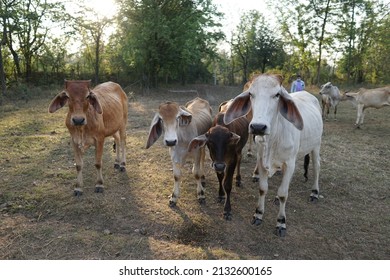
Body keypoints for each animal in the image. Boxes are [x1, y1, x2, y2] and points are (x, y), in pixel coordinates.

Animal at [222, 74, 322, 236]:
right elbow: (263, 188)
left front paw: (281, 222)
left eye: (277, 95)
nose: (258, 127)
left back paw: (314, 192)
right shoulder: (262, 161)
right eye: (251, 94)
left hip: (316, 146)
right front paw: (258, 214)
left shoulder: (289, 162)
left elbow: (283, 194)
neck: (274, 138)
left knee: (317, 167)